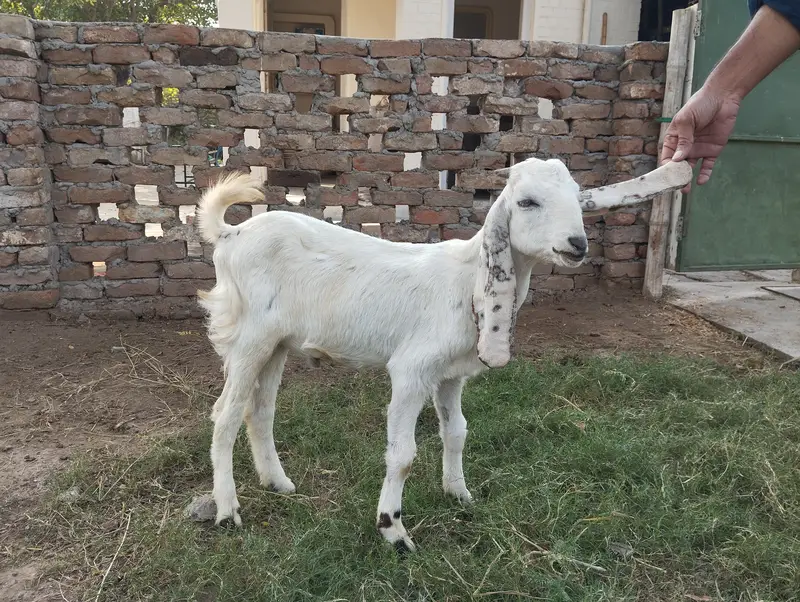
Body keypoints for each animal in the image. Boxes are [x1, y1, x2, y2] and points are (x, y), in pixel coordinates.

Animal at [195, 157, 692, 551]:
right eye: (527, 202)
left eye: (577, 199)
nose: (577, 245)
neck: (468, 278)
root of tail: (231, 233)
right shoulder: (411, 371)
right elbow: (403, 454)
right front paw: (393, 530)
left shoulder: (451, 375)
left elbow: (457, 432)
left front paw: (459, 494)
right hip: (250, 338)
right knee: (225, 415)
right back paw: (227, 510)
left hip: (277, 343)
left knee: (259, 411)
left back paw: (277, 483)